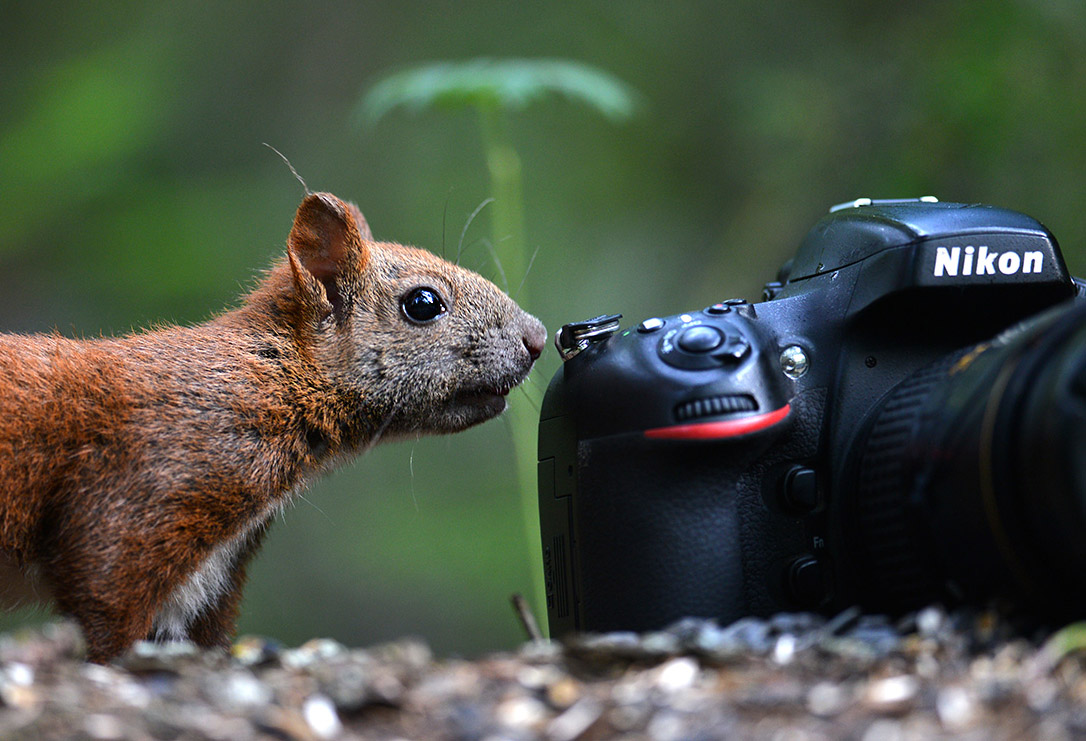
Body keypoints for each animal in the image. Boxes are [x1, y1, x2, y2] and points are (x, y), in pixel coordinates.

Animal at [0, 192, 547, 664]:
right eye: (423, 303)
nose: (538, 336)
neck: (267, 380)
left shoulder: (213, 573)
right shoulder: (142, 491)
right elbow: (106, 603)